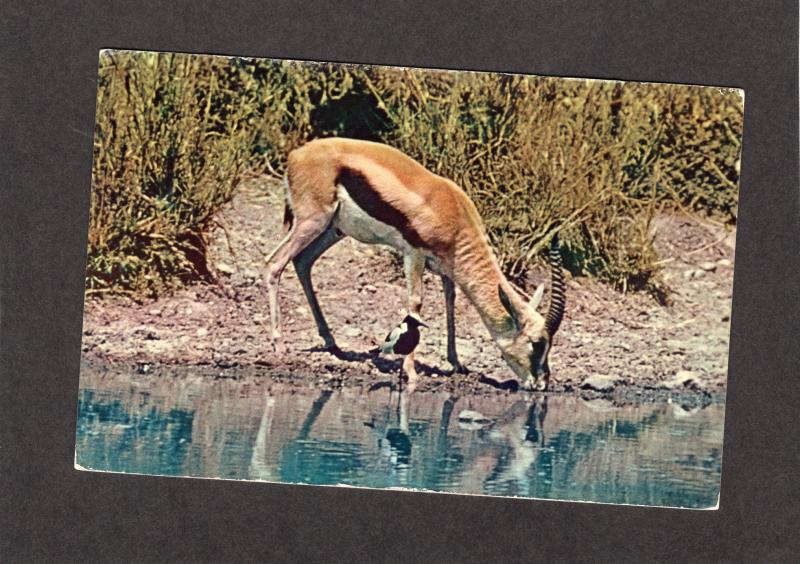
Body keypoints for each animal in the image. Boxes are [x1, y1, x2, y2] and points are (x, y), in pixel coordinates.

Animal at [266, 139, 564, 390]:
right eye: (536, 344)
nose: (541, 384)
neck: (454, 213)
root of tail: (297, 154)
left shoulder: (446, 268)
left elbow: (450, 302)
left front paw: (456, 363)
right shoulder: (414, 254)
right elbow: (415, 305)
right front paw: (410, 373)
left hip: (333, 229)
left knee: (302, 262)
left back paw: (331, 342)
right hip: (313, 221)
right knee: (274, 264)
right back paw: (279, 345)